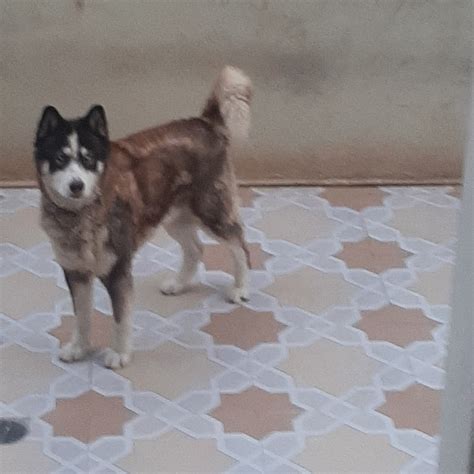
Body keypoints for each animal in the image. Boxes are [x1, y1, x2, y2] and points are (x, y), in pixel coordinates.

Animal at [34, 66, 252, 369]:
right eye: (59, 159)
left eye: (88, 159)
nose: (76, 185)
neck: (82, 215)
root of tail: (205, 122)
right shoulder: (75, 272)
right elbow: (82, 317)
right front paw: (79, 347)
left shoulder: (118, 271)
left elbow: (120, 319)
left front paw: (119, 353)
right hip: (174, 217)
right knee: (196, 248)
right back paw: (180, 284)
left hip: (211, 211)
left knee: (239, 242)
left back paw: (240, 288)